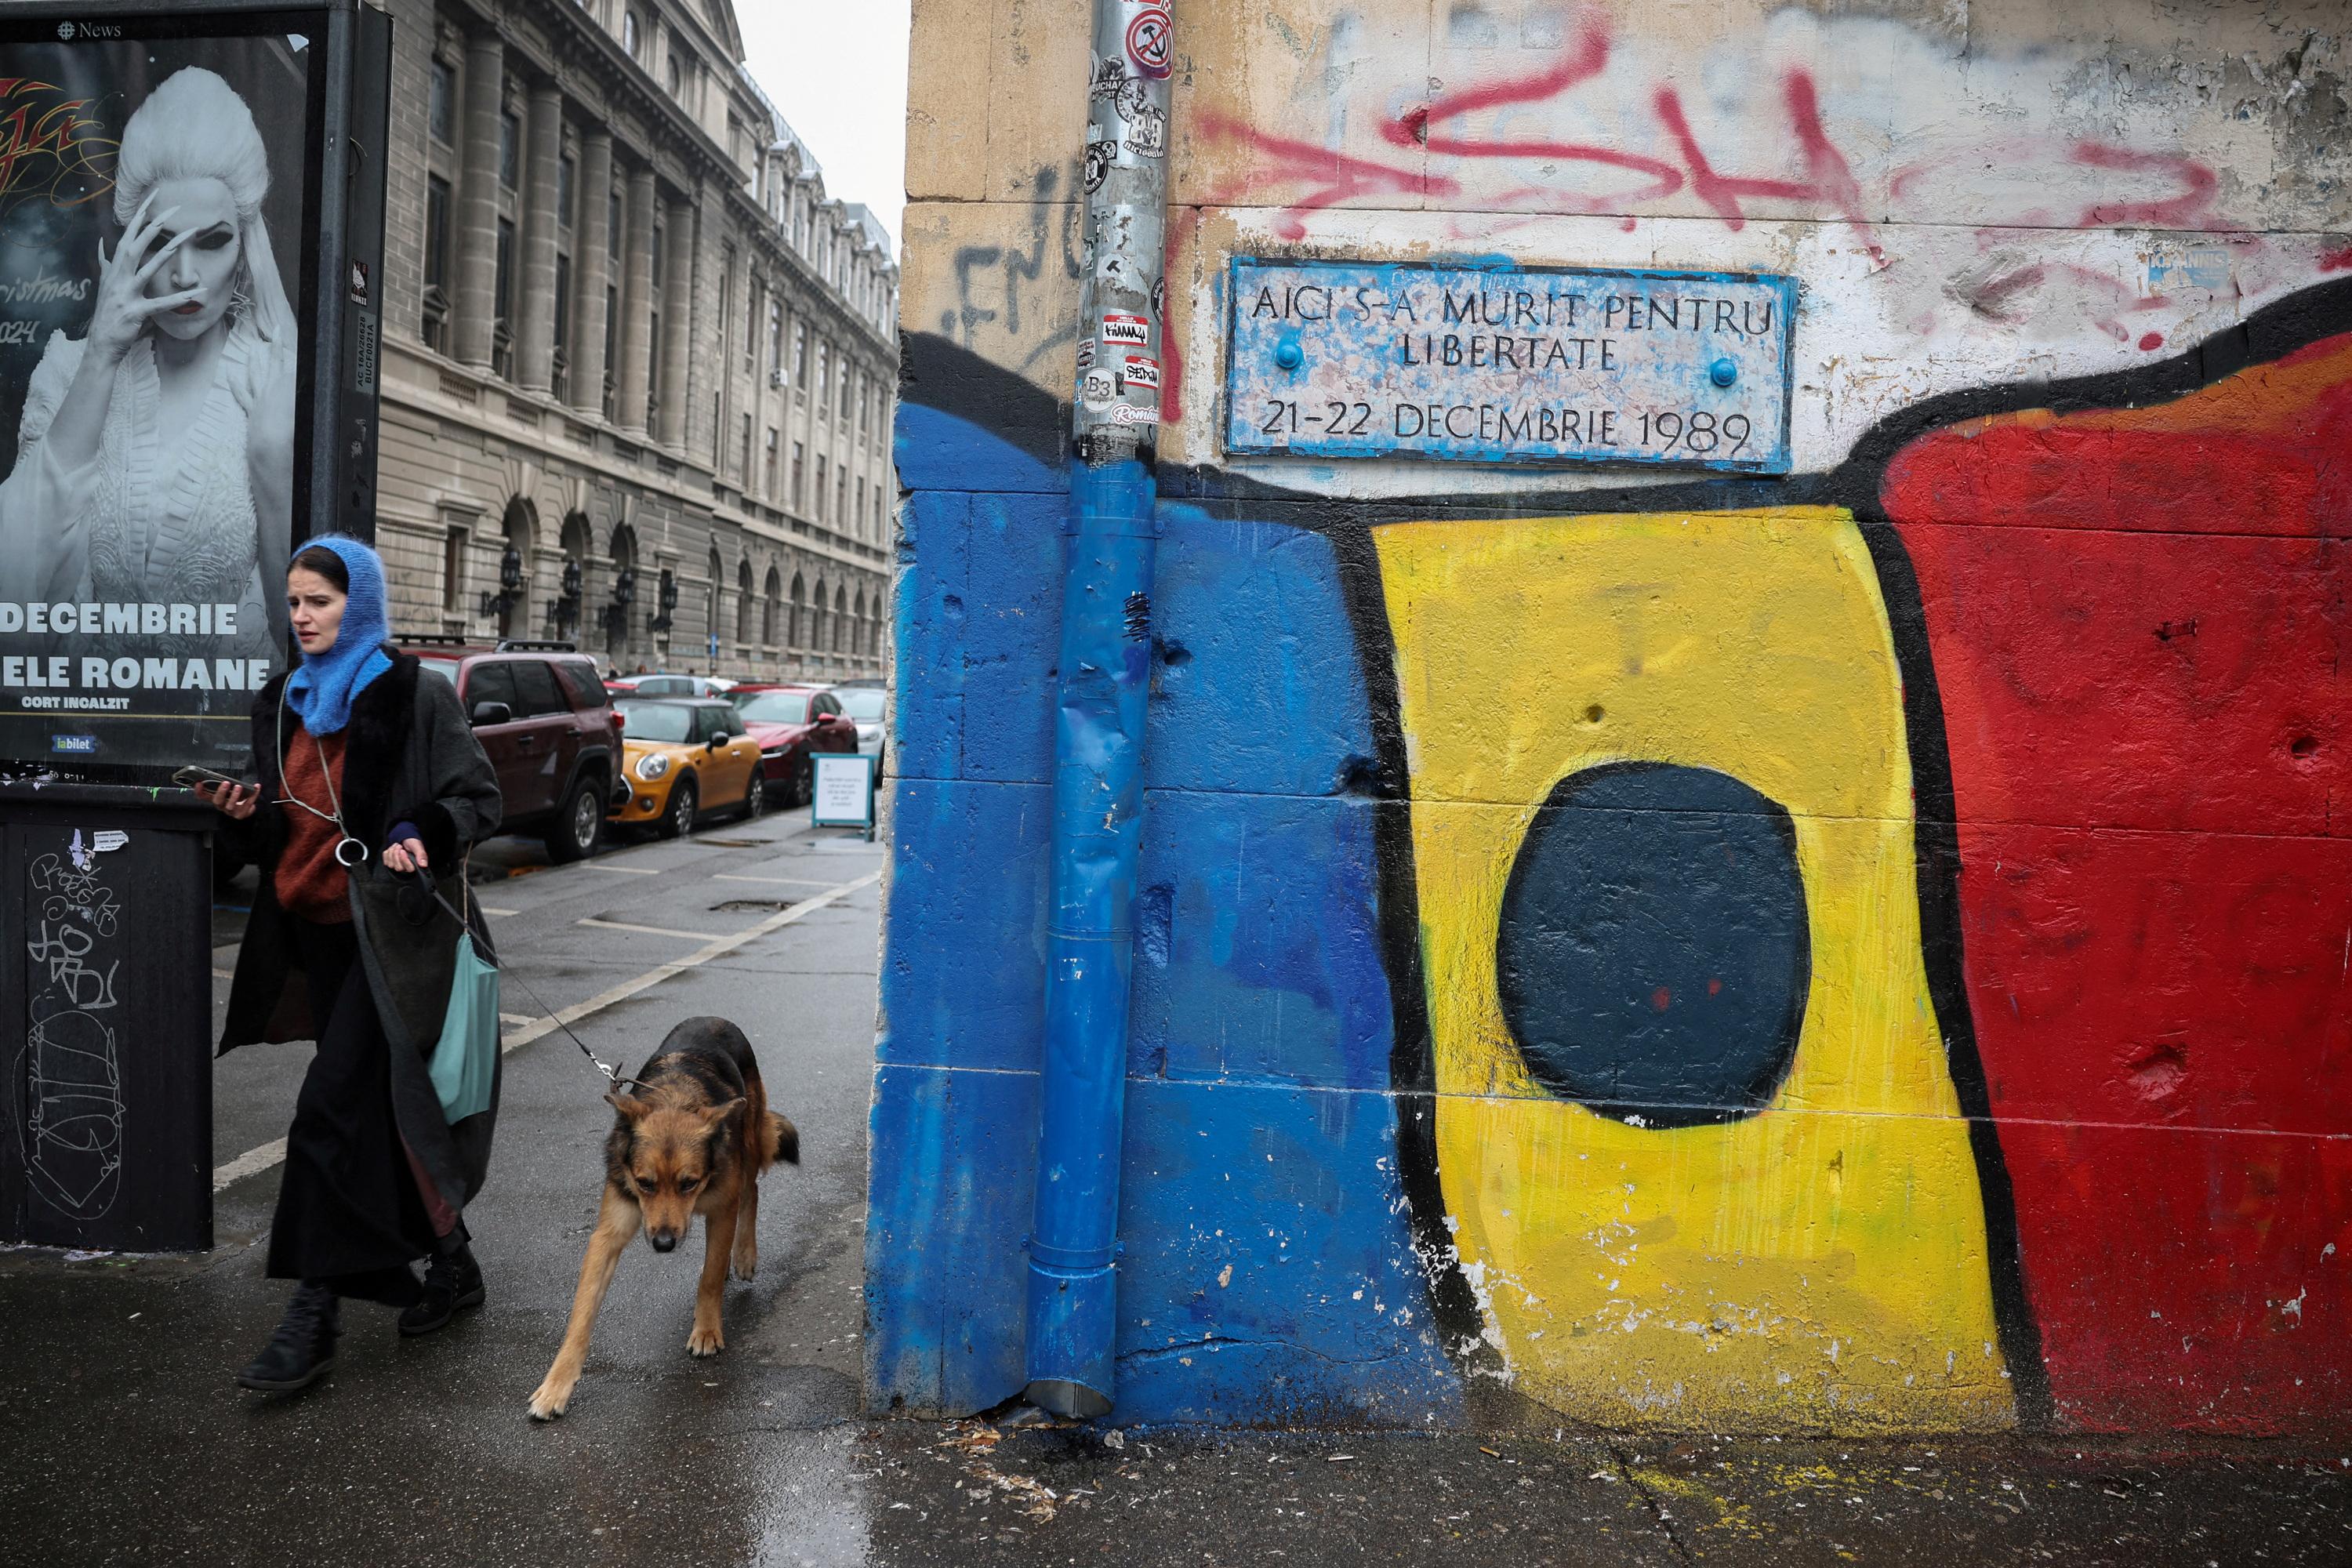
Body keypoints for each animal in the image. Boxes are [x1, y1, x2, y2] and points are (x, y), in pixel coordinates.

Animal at [527, 1020, 800, 1420]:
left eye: (689, 1183)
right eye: (645, 1183)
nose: (664, 1245)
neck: (675, 1098)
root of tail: (712, 1017)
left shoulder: (722, 1209)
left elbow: (709, 1278)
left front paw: (706, 1330)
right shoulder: (607, 1236)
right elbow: (581, 1314)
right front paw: (556, 1386)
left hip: (750, 1142)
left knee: (751, 1190)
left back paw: (745, 1255)